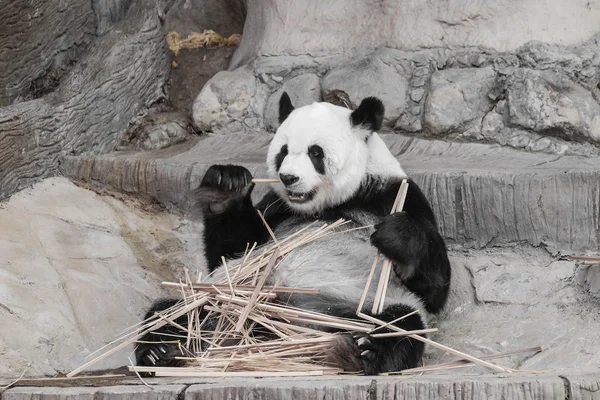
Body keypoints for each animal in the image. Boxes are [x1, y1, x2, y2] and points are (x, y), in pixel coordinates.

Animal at [135, 92, 450, 374]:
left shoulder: (395, 194)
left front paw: (396, 235)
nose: (288, 178)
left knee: (401, 326)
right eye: (283, 151)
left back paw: (362, 350)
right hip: (222, 297)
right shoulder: (276, 208)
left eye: (315, 152)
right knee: (174, 310)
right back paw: (160, 350)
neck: (333, 202)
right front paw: (225, 187)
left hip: (363, 304)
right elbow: (232, 251)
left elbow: (434, 287)